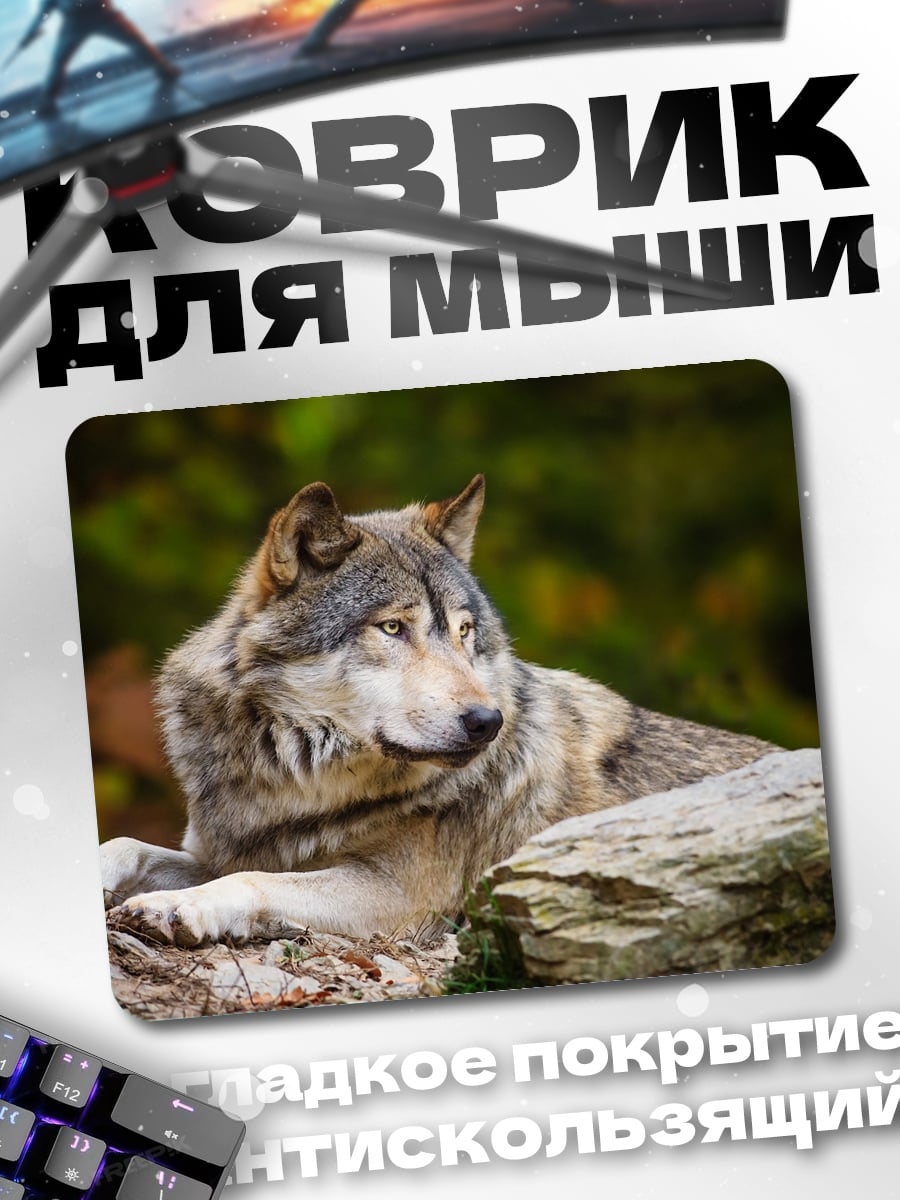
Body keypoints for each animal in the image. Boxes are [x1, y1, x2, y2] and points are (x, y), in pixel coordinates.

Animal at [101, 475, 774, 946]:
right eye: (393, 628)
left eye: (465, 632)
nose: (487, 722)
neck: (296, 785)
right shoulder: (216, 850)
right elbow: (129, 844)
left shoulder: (395, 897)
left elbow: (251, 880)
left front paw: (178, 907)